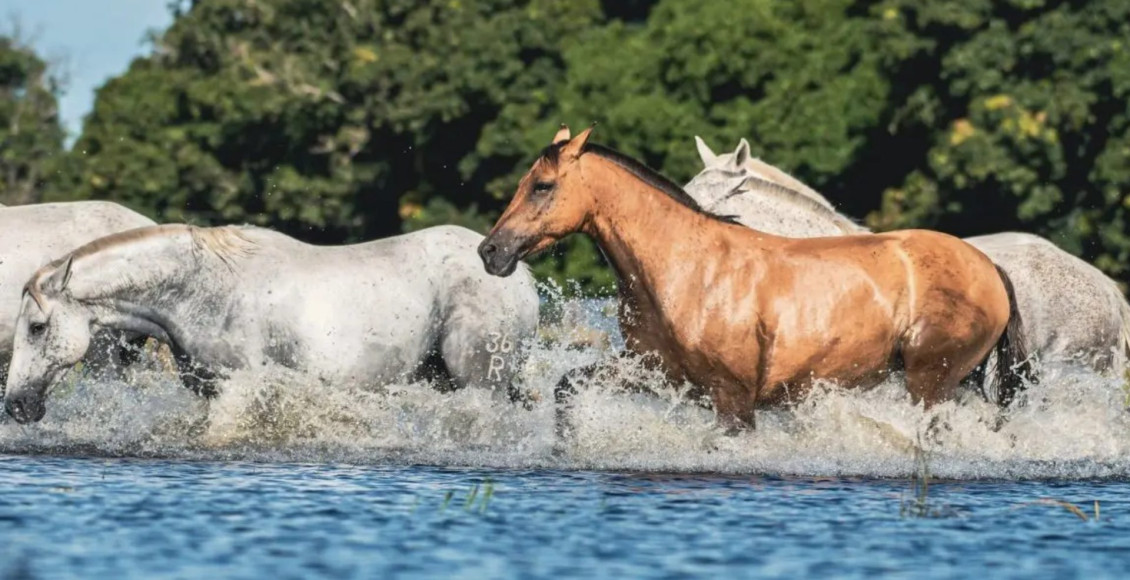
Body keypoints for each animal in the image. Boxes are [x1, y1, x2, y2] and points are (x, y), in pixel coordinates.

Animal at [3, 224, 539, 423]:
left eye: (36, 328)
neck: (202, 288)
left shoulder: (242, 385)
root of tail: (519, 275)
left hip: (479, 382)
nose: (16, 406)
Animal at [477, 125, 1029, 435]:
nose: (490, 252)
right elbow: (566, 389)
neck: (686, 268)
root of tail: (989, 266)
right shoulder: (654, 371)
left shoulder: (733, 398)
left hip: (930, 382)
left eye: (542, 186)